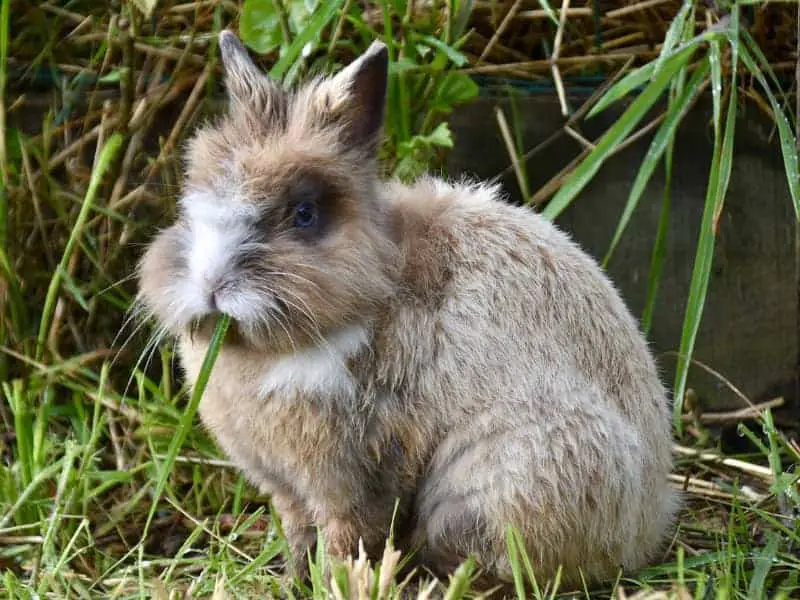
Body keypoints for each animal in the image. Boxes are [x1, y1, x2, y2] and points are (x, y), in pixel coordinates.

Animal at [134, 27, 680, 592]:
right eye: (191, 199)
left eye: (303, 214)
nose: (212, 284)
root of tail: (647, 523)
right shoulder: (286, 489)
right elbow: (298, 536)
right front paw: (292, 583)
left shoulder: (352, 480)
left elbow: (344, 538)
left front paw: (336, 584)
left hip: (501, 481)